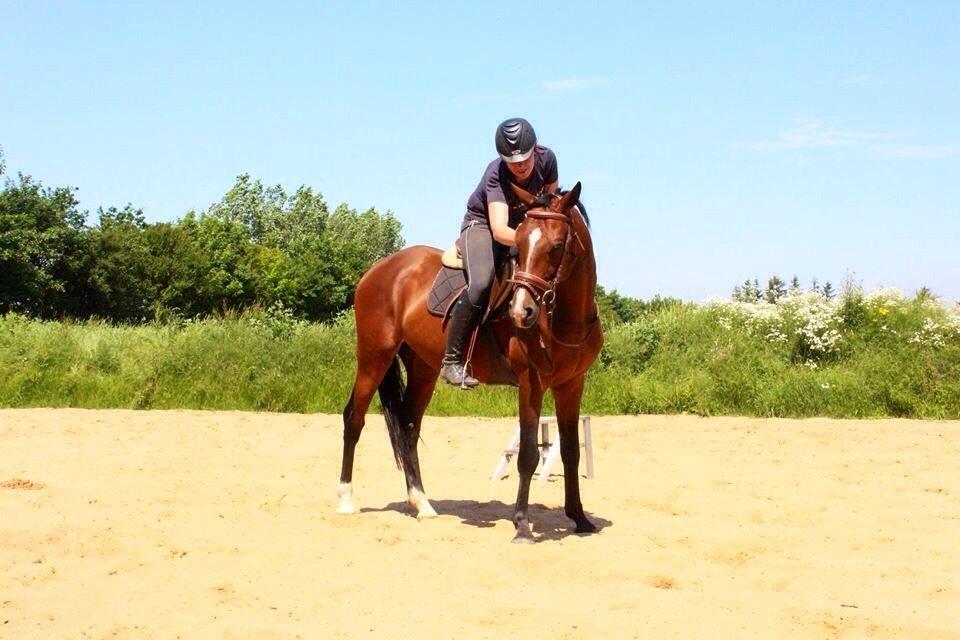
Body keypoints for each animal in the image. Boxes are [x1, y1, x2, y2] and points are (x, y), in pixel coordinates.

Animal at [338, 182, 600, 544]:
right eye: (519, 245)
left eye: (557, 246)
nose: (522, 312)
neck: (564, 319)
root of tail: (378, 270)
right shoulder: (531, 382)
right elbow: (528, 455)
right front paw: (522, 526)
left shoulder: (572, 384)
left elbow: (571, 451)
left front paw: (579, 518)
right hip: (374, 356)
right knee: (354, 418)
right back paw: (346, 499)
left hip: (422, 368)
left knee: (408, 426)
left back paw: (422, 503)